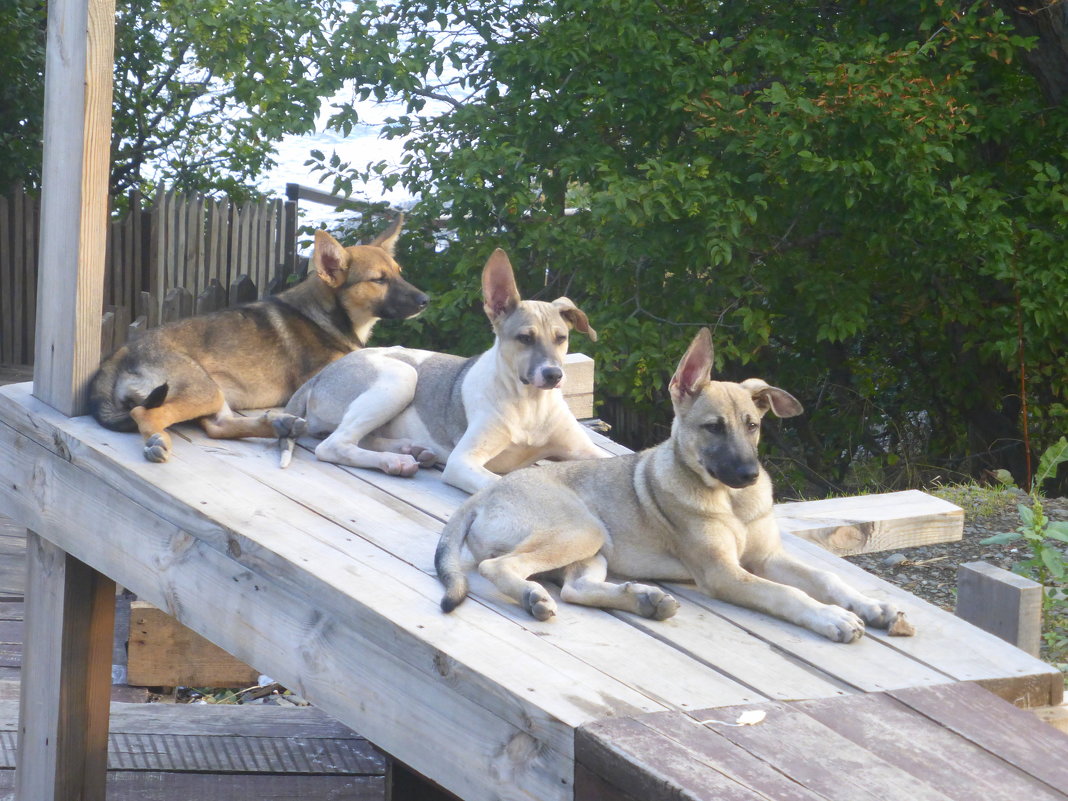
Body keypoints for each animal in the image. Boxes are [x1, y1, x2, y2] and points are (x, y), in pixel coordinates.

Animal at [87, 214, 427, 463]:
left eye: (399, 272)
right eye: (378, 280)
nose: (425, 301)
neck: (330, 314)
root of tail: (119, 354)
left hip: (215, 393)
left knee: (217, 427)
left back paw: (277, 425)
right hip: (202, 389)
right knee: (145, 413)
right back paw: (157, 441)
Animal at [279, 250, 606, 493]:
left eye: (561, 338)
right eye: (524, 338)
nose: (553, 375)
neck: (530, 404)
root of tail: (321, 376)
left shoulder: (590, 453)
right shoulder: (463, 462)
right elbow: (497, 484)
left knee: (357, 437)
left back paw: (411, 450)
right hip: (401, 377)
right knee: (334, 444)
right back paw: (395, 461)